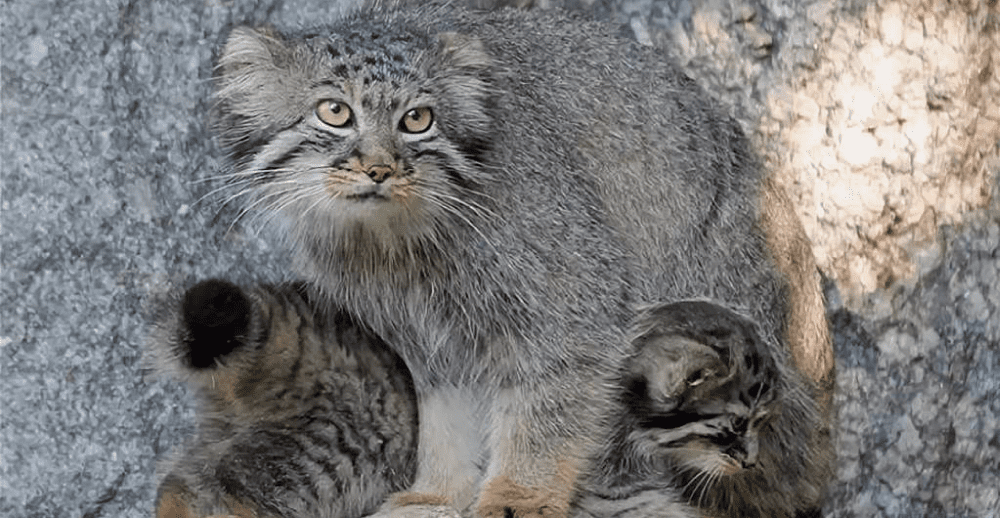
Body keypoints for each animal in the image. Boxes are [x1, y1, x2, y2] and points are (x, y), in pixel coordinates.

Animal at [213, 2, 836, 516]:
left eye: (417, 120)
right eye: (335, 112)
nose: (381, 169)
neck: (395, 245)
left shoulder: (573, 303)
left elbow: (549, 406)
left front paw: (519, 496)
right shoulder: (427, 335)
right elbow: (444, 414)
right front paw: (438, 493)